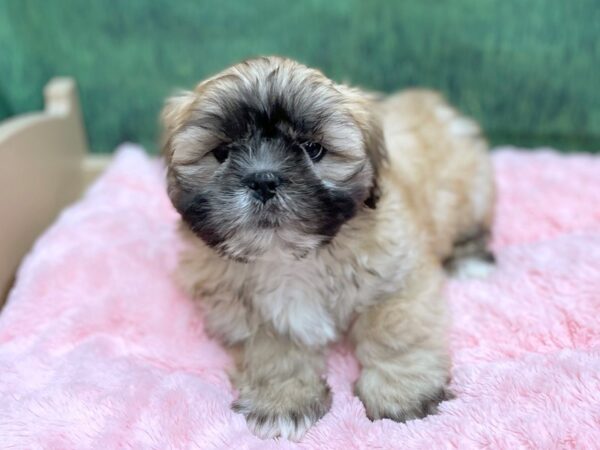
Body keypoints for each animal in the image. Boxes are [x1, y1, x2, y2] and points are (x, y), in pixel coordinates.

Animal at [159, 56, 492, 440]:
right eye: (222, 152)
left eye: (312, 148)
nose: (263, 180)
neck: (289, 257)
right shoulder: (242, 312)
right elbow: (274, 352)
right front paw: (283, 402)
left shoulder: (399, 281)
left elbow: (393, 332)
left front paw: (403, 393)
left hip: (470, 191)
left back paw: (470, 259)